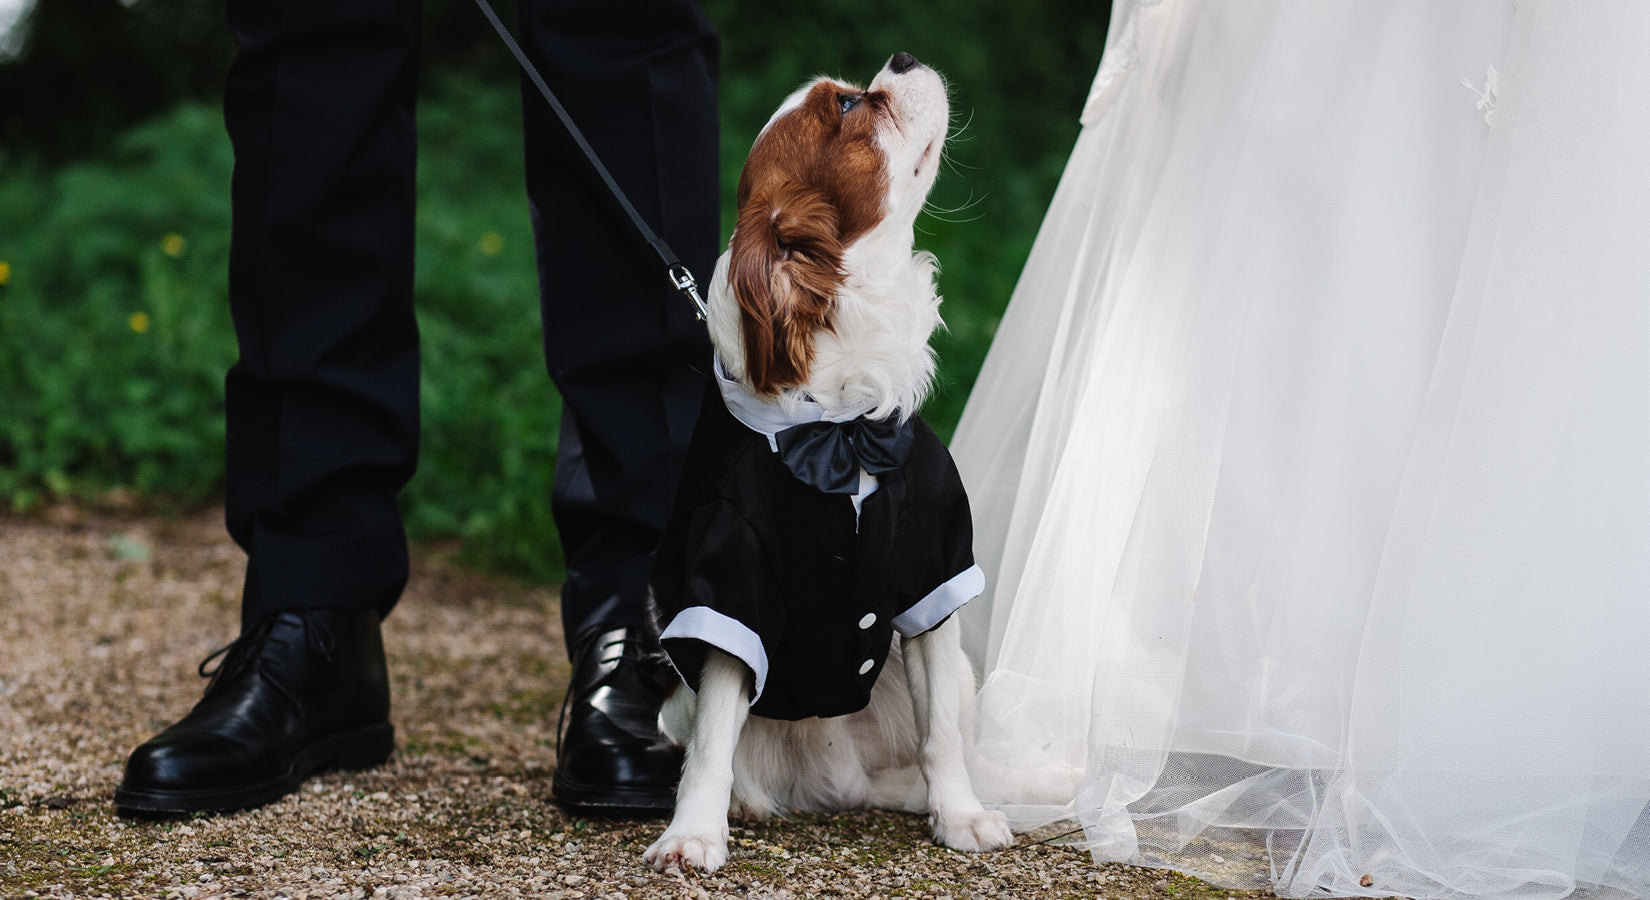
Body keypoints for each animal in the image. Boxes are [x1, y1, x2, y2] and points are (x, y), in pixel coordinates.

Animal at [646, 52, 1016, 871]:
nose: (903, 58)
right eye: (850, 107)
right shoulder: (730, 589)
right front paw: (694, 835)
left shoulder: (933, 579)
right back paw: (747, 805)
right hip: (675, 694)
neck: (840, 428)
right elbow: (714, 743)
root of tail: (837, 782)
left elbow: (942, 733)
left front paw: (961, 817)